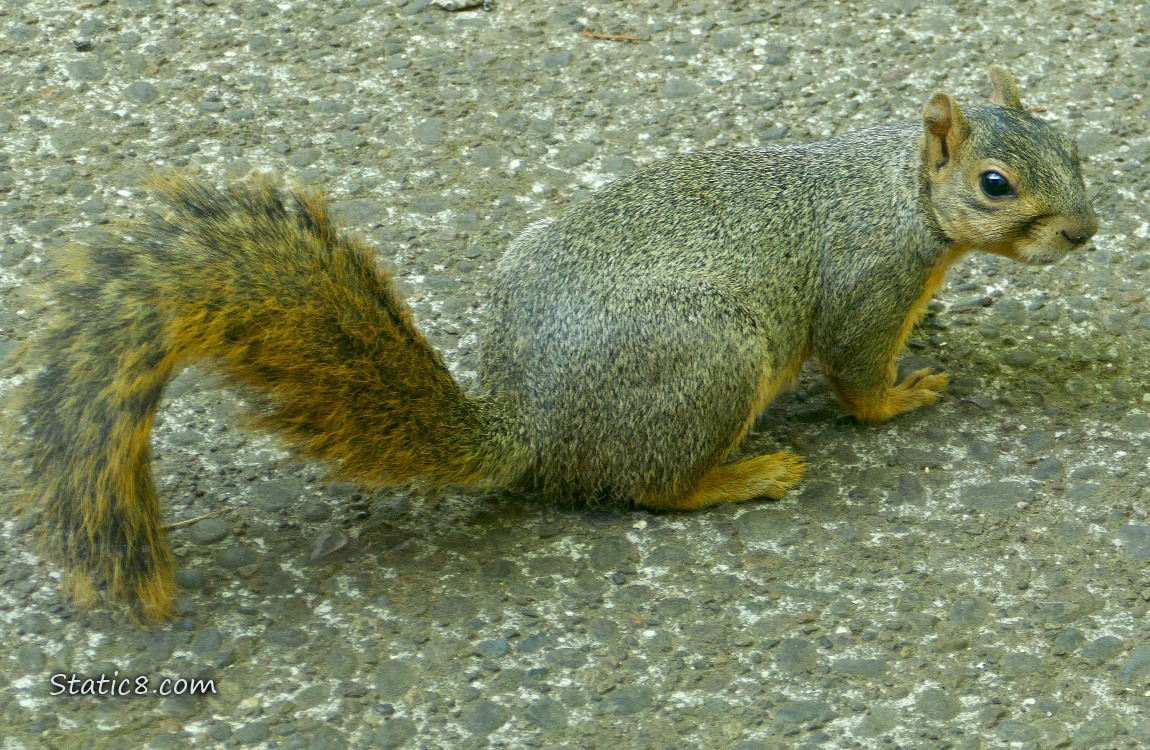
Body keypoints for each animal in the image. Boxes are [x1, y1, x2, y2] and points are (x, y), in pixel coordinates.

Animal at [2, 66, 1098, 620]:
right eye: (996, 184)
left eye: (1074, 145)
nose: (1085, 231)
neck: (896, 188)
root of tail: (529, 426)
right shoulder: (866, 287)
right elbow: (860, 379)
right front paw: (904, 393)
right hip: (713, 361)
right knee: (650, 488)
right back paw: (743, 475)